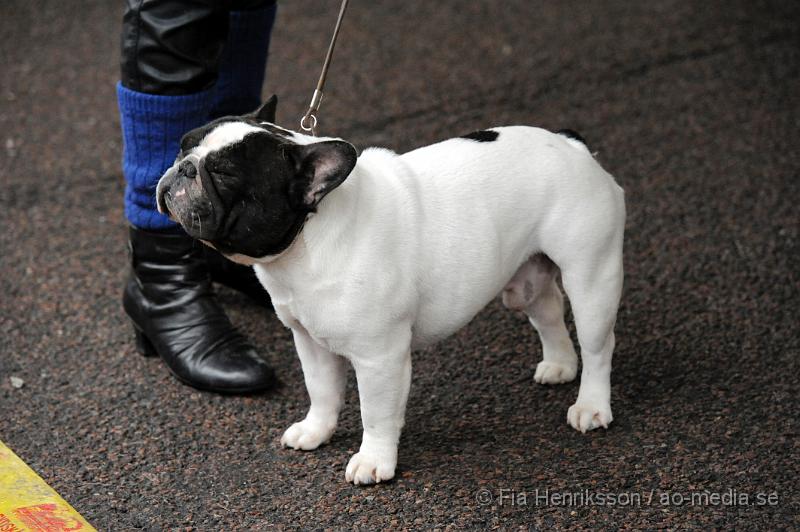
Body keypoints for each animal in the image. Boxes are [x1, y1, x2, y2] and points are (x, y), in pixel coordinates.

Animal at [158, 96, 624, 486]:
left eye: (224, 174)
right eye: (183, 146)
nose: (183, 167)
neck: (308, 239)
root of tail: (572, 145)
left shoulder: (379, 357)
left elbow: (377, 414)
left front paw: (373, 462)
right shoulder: (310, 341)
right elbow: (321, 391)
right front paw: (316, 431)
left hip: (592, 277)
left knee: (599, 346)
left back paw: (592, 406)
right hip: (526, 280)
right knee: (548, 309)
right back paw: (560, 365)